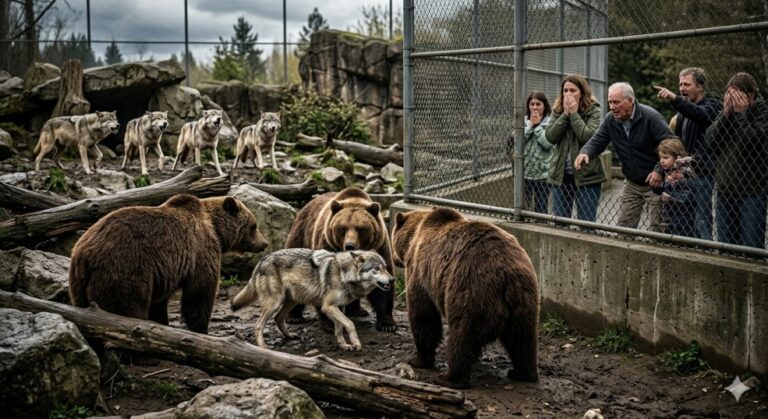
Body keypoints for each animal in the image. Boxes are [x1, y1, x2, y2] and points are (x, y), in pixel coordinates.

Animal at [68, 194, 269, 334]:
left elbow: (159, 302)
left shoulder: (164, 270)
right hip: (124, 267)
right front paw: (201, 328)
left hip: (78, 281)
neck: (216, 229)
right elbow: (200, 291)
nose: (264, 243)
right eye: (254, 226)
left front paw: (162, 323)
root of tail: (84, 254)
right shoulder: (201, 251)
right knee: (125, 307)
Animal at [231, 248, 393, 351]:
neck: (343, 273)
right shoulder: (328, 307)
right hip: (274, 304)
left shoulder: (338, 307)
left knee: (278, 318)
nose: (392, 280)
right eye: (376, 269)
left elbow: (340, 328)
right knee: (258, 325)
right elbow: (350, 324)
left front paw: (344, 345)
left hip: (291, 302)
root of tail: (262, 260)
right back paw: (263, 347)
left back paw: (289, 336)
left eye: (386, 267)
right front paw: (356, 344)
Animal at [284, 187, 396, 332]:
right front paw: (331, 324)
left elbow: (382, 287)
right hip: (300, 236)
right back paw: (294, 317)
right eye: (342, 228)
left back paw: (358, 311)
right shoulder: (327, 245)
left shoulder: (379, 247)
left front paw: (387, 324)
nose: (349, 245)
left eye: (361, 228)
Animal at [391, 206, 539, 389]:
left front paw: (418, 359)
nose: (394, 259)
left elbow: (423, 315)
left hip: (470, 290)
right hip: (525, 297)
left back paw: (449, 378)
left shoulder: (420, 271)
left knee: (462, 335)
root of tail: (506, 274)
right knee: (523, 338)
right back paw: (522, 373)